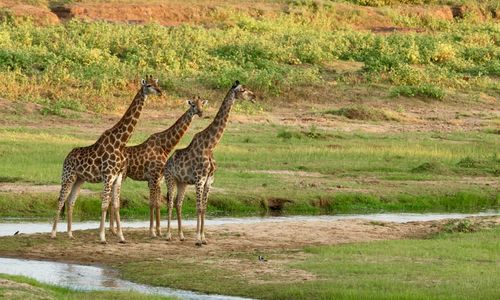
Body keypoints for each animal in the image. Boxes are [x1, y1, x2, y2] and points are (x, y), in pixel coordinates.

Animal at [50, 75, 161, 244]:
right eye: (148, 85)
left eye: (156, 83)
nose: (160, 92)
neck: (121, 142)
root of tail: (67, 157)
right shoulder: (108, 176)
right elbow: (103, 205)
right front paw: (102, 237)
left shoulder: (117, 177)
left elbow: (115, 205)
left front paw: (121, 237)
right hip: (68, 176)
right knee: (61, 200)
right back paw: (53, 234)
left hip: (79, 179)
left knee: (70, 201)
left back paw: (70, 234)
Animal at [109, 96, 209, 237]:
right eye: (193, 105)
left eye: (202, 105)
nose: (200, 112)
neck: (165, 146)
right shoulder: (153, 177)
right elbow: (152, 203)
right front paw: (152, 231)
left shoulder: (159, 178)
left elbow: (157, 204)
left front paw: (159, 231)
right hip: (121, 176)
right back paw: (113, 230)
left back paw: (112, 230)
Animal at [166, 81, 256, 245]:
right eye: (243, 90)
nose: (254, 96)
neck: (210, 146)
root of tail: (167, 163)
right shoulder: (199, 180)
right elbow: (199, 208)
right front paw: (197, 239)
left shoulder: (209, 181)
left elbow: (204, 208)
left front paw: (203, 238)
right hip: (170, 179)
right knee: (170, 202)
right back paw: (168, 235)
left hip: (182, 182)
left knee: (178, 203)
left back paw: (181, 236)